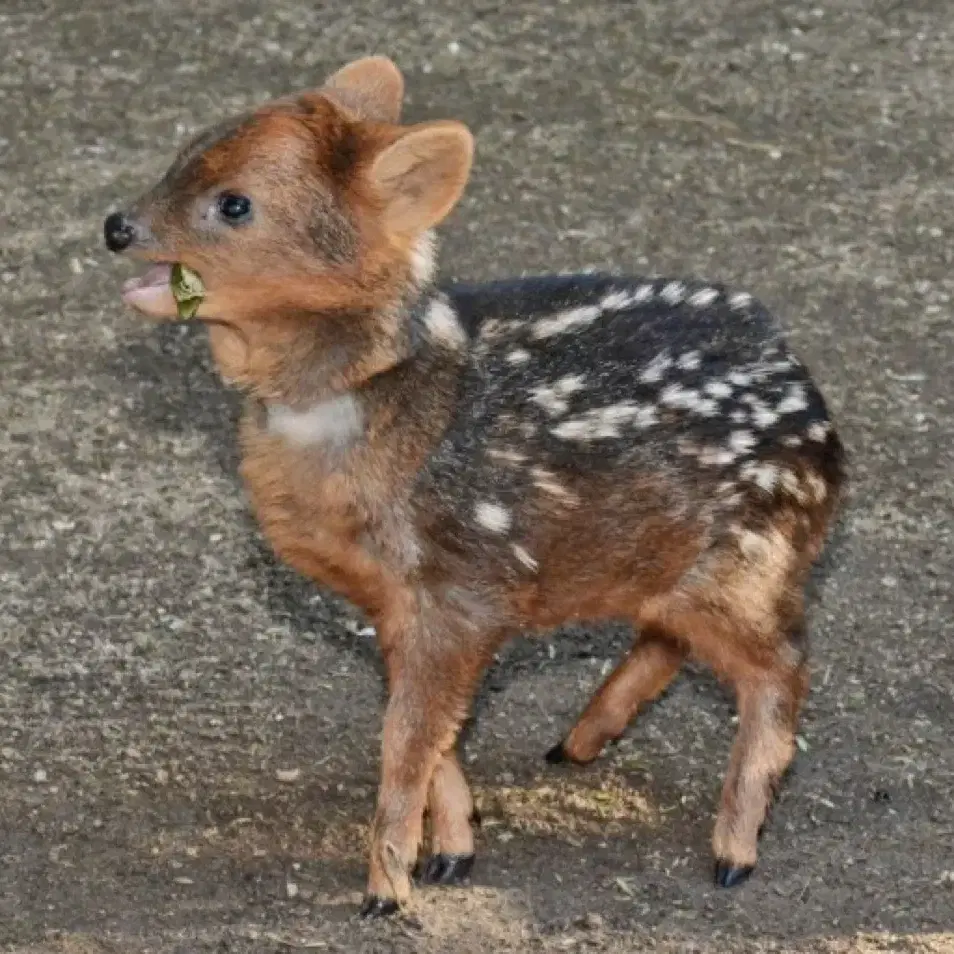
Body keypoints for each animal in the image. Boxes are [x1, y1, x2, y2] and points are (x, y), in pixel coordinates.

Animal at [108, 54, 844, 916]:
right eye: (184, 151)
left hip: (754, 557)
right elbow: (434, 730)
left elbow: (408, 737)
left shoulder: (461, 586)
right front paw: (453, 848)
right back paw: (578, 741)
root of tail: (811, 400)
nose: (116, 226)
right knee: (673, 633)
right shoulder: (398, 601)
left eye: (235, 204)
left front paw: (386, 886)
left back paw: (734, 849)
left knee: (782, 665)